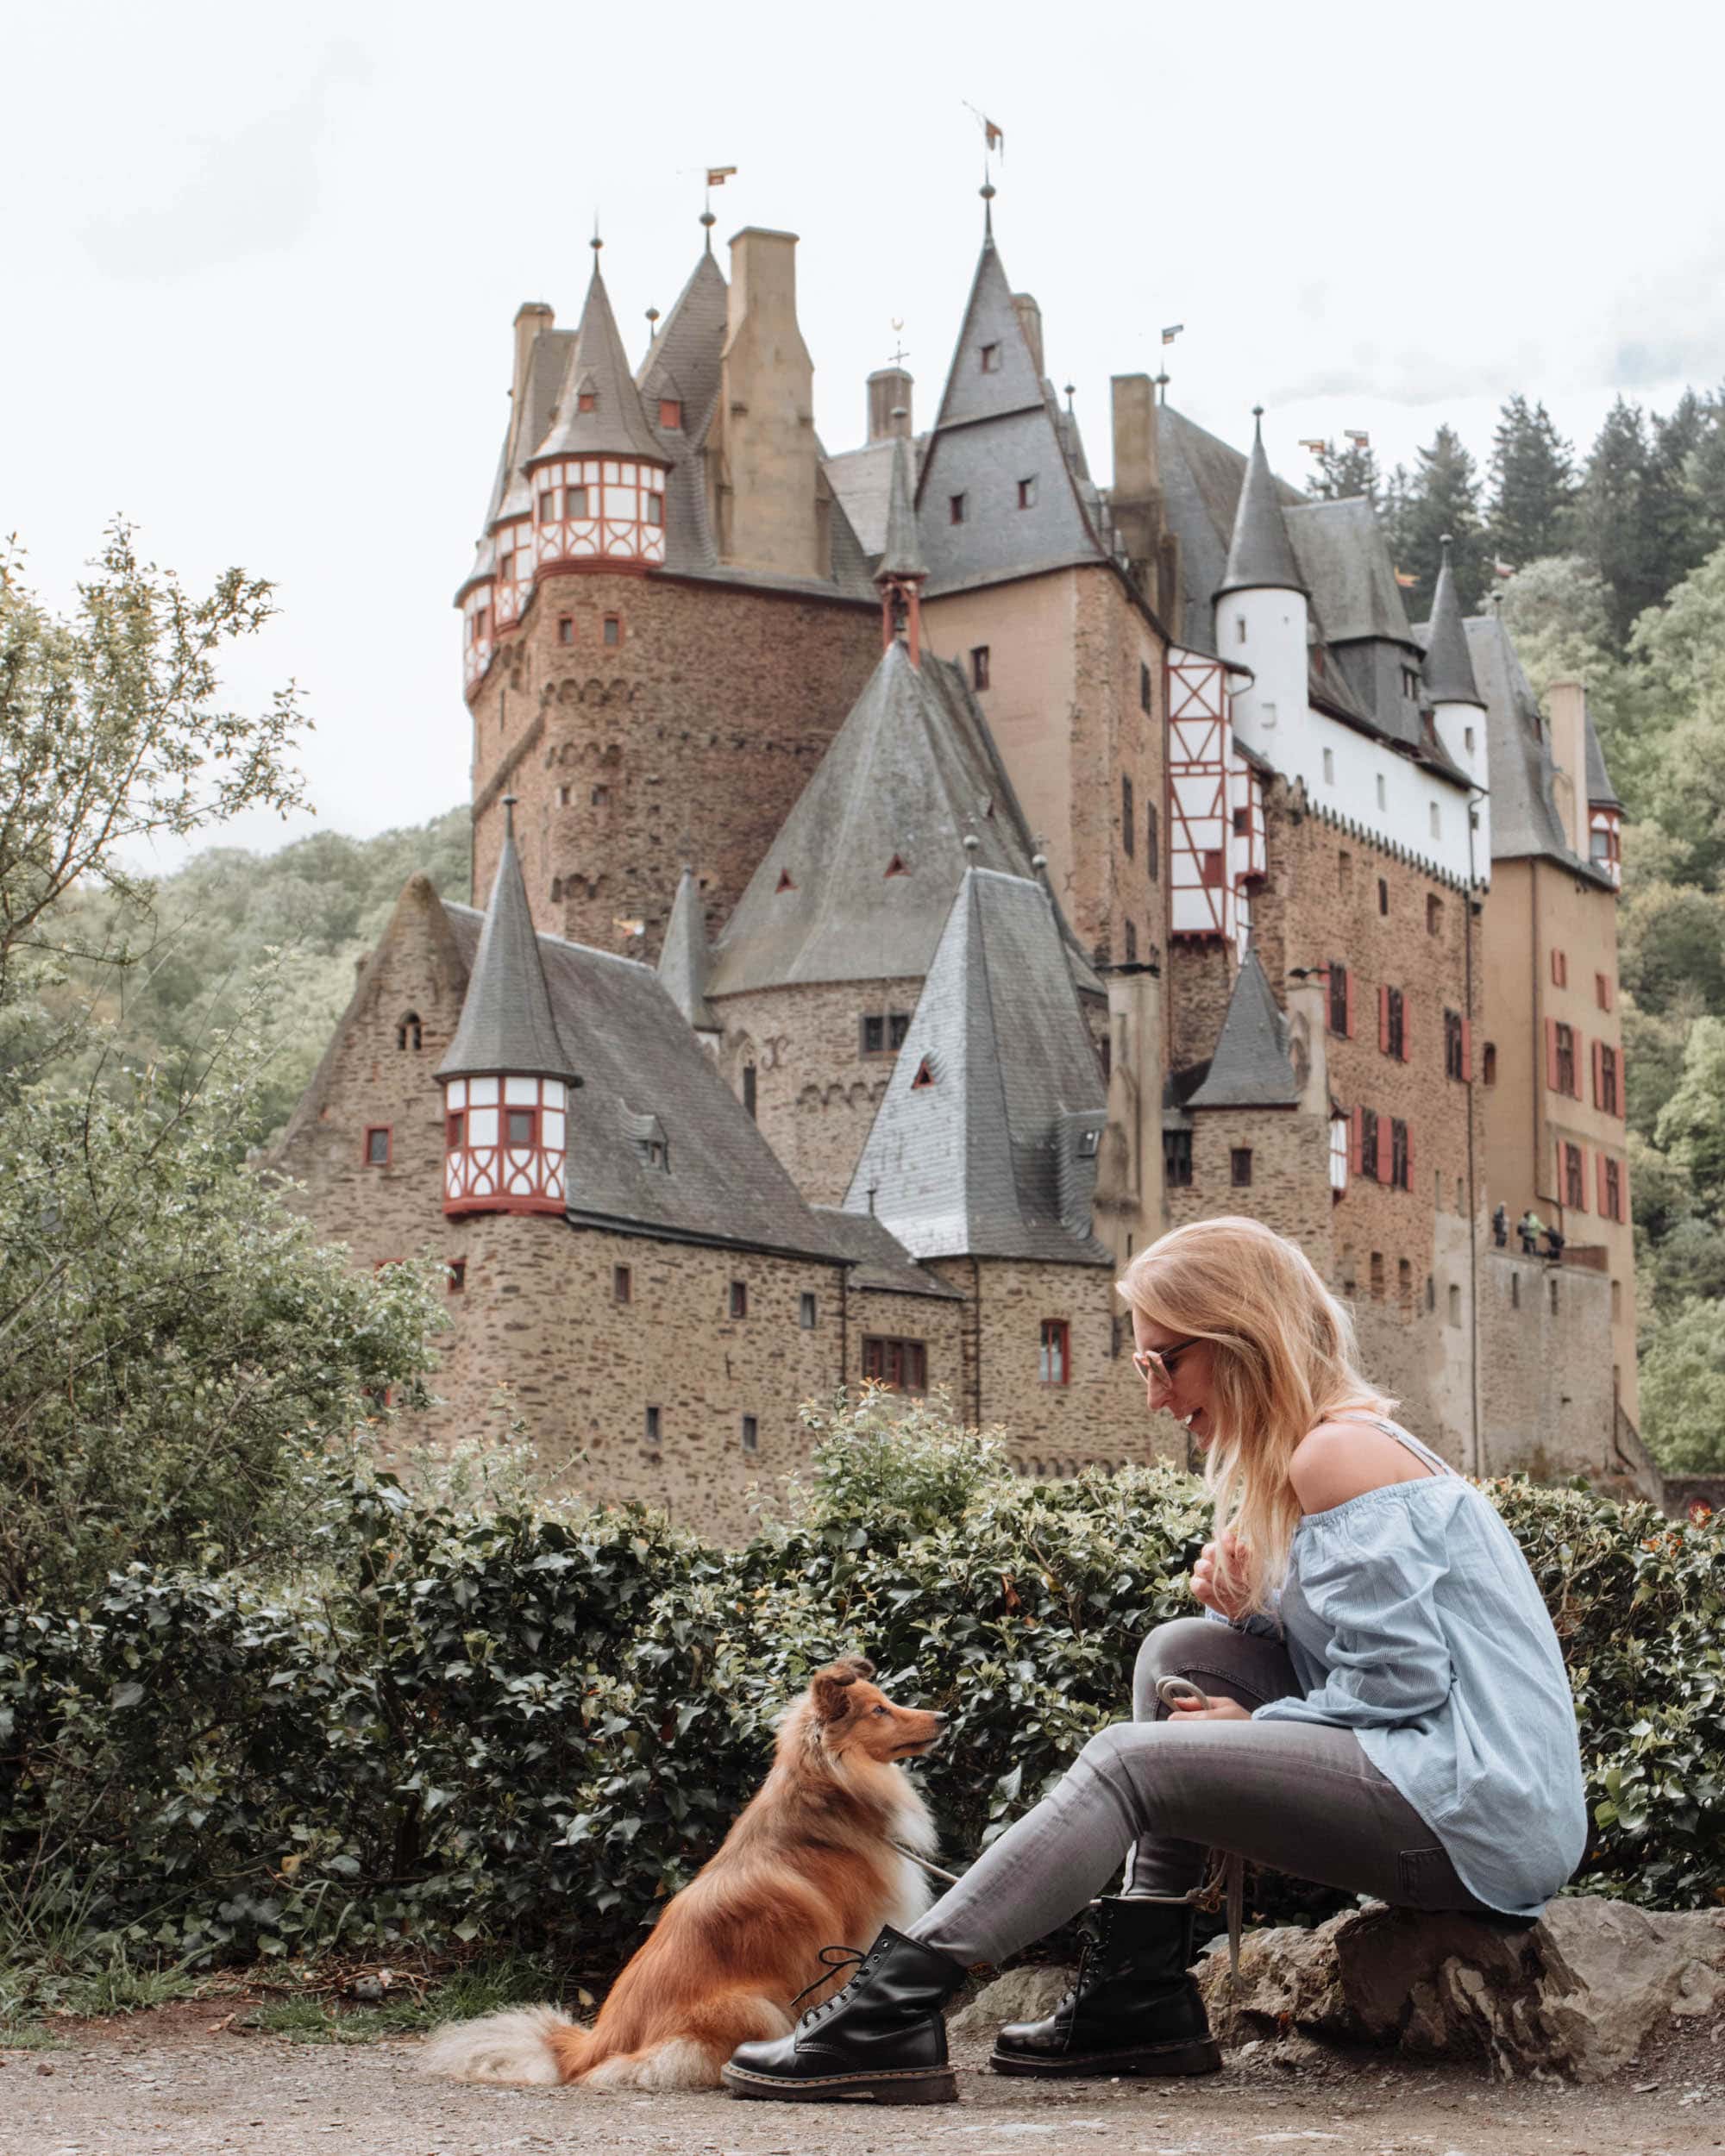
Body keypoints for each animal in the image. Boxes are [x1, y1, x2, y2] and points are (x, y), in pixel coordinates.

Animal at [423, 1647, 949, 2087]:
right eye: (879, 1711)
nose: (943, 1717)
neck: (828, 1800)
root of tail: (590, 2047)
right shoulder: (844, 1944)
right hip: (752, 2005)